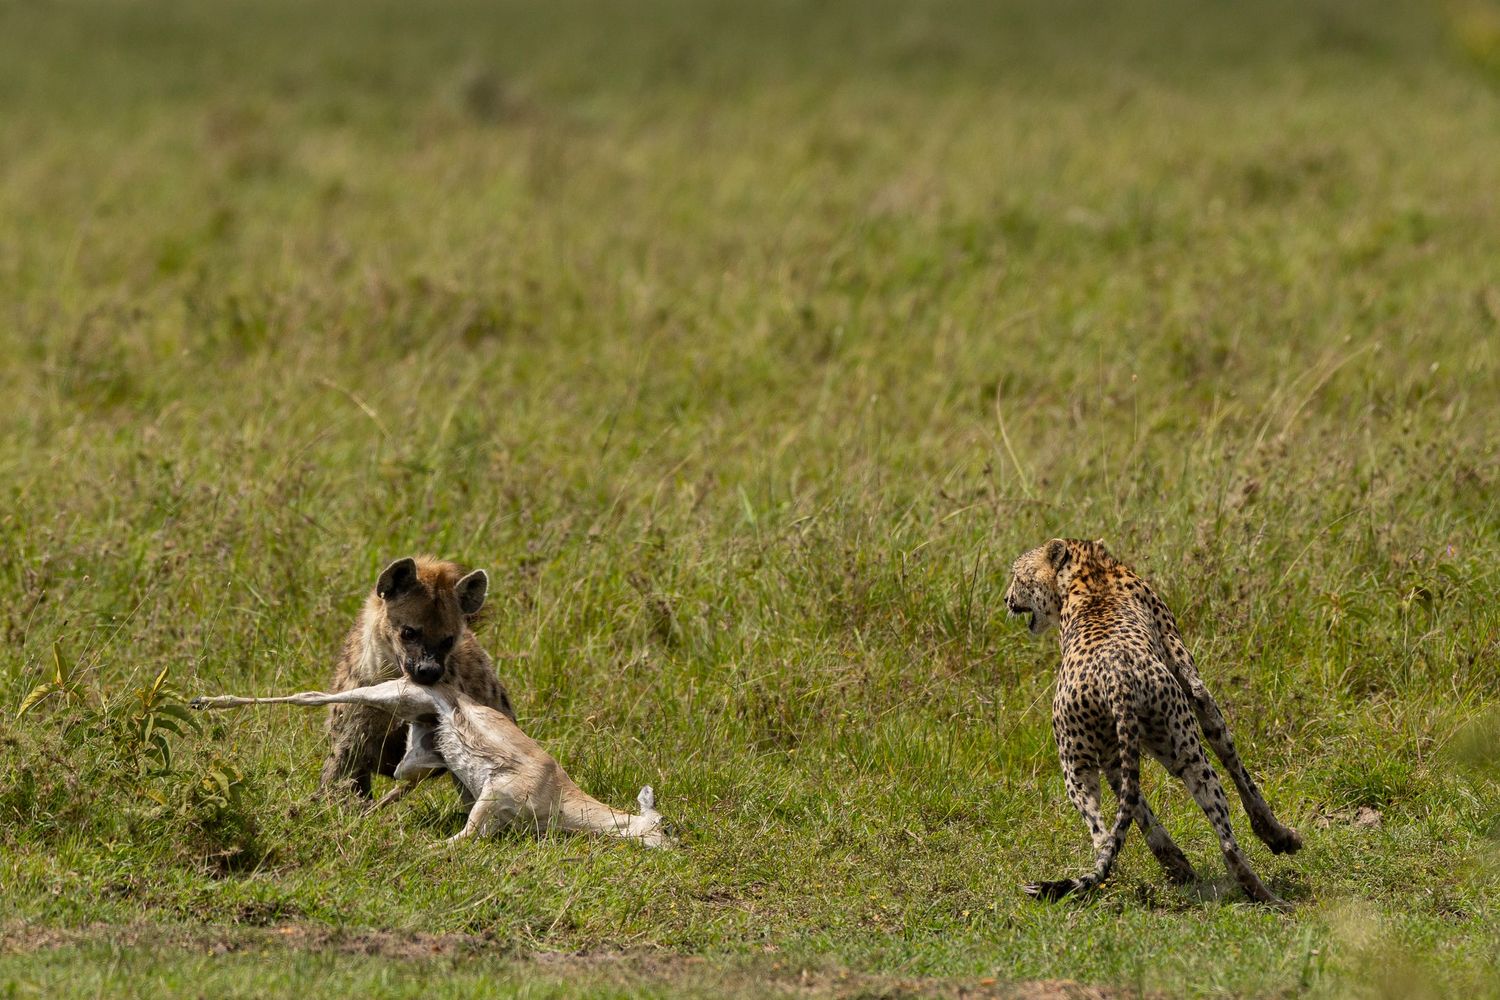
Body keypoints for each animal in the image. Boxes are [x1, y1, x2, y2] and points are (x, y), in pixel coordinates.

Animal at [1004, 538, 1303, 906]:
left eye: (1018, 575)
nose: (1007, 599)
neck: (1088, 572)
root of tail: (1114, 676)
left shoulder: (1114, 756)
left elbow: (1134, 807)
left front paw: (1176, 863)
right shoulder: (1197, 691)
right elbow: (1237, 765)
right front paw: (1279, 836)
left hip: (1077, 767)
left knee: (1103, 835)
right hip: (1187, 753)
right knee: (1227, 842)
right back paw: (1266, 895)